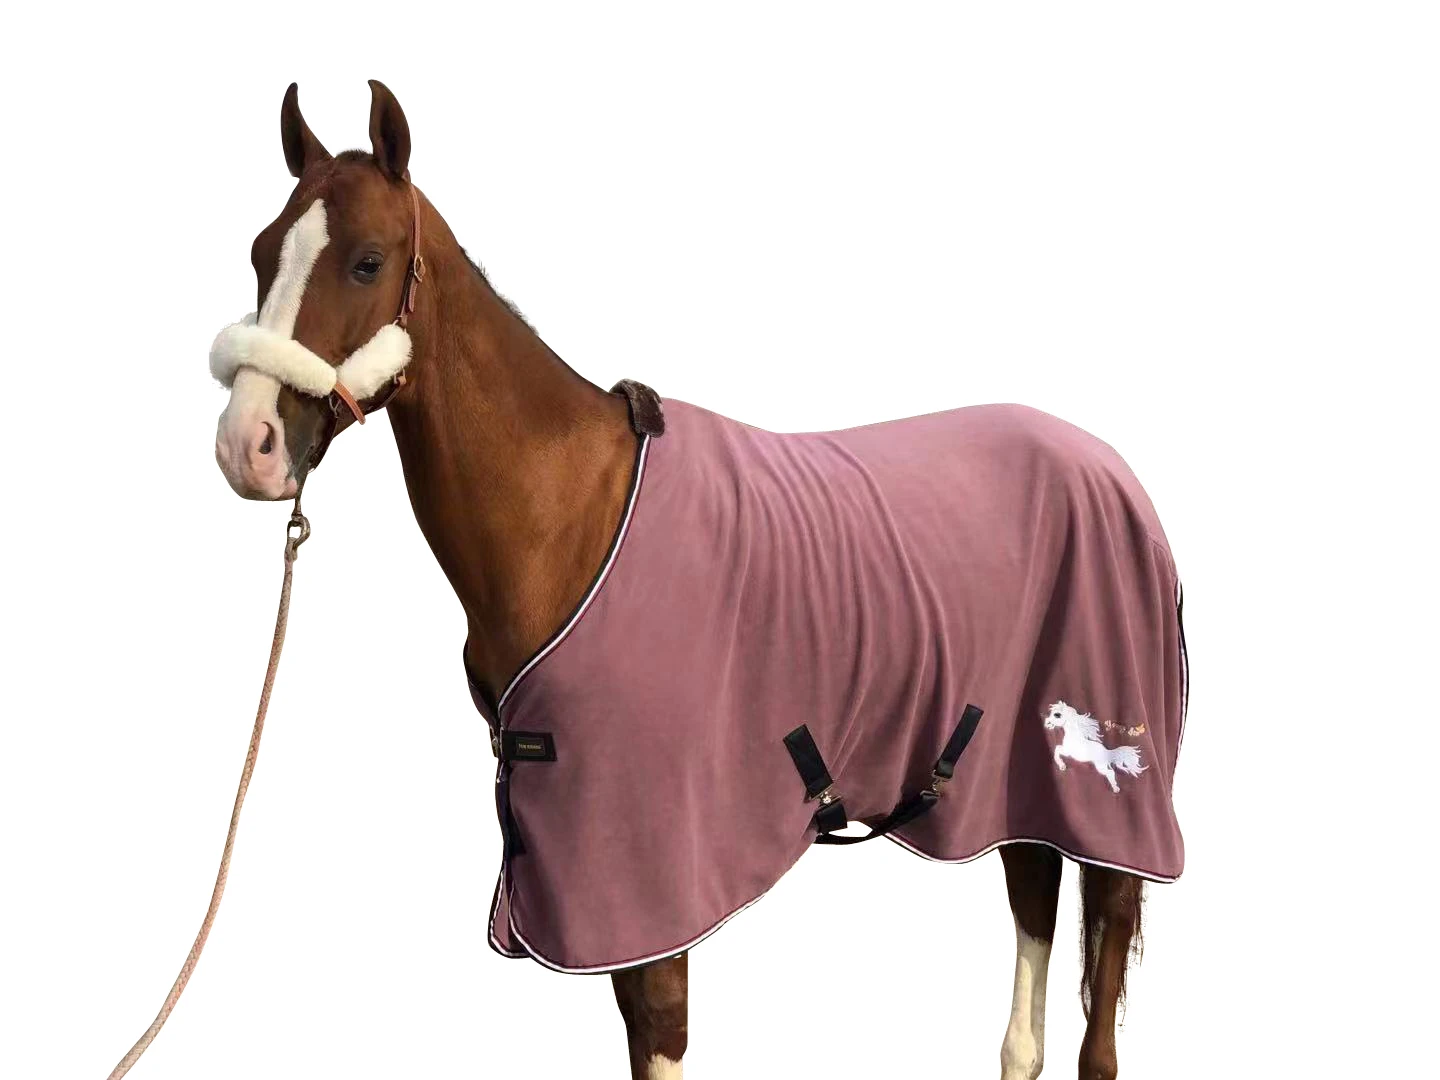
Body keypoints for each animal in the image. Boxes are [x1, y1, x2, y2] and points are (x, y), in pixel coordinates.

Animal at [211, 81, 1187, 1080]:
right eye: (259, 251)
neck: (570, 511)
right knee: (1031, 894)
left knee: (1102, 957)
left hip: (1105, 791)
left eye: (366, 261)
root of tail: (1112, 471)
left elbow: (661, 1023)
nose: (248, 445)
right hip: (1008, 775)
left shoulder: (652, 864)